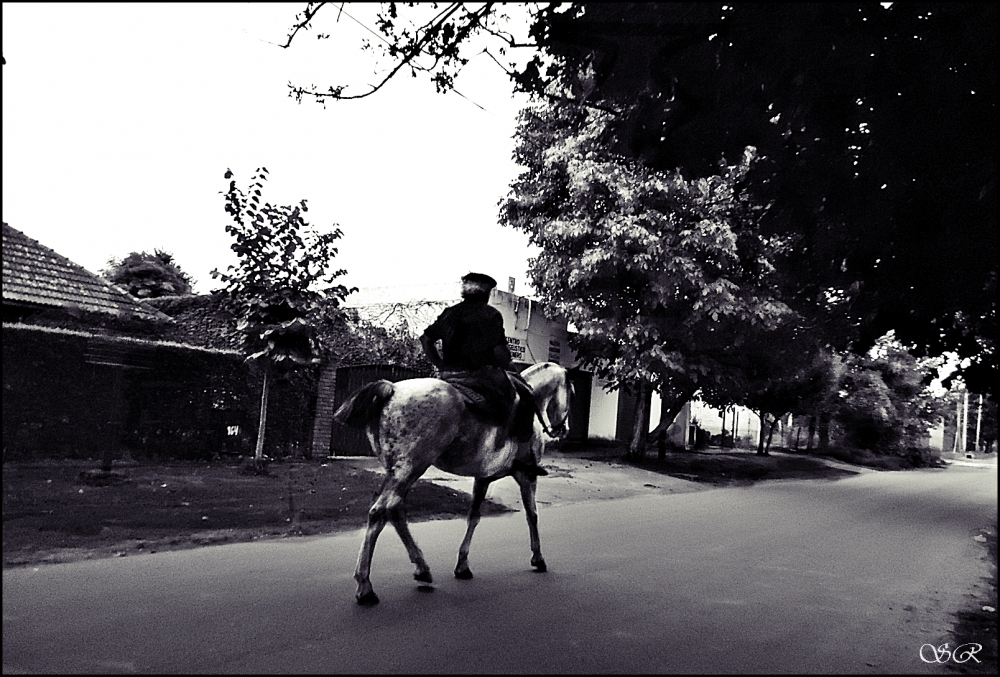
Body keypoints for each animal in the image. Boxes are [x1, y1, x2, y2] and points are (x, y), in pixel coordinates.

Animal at [334, 362, 576, 604]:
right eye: (572, 393)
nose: (563, 430)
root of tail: (392, 389)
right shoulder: (527, 476)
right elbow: (532, 515)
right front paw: (538, 558)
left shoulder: (483, 478)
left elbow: (474, 517)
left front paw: (462, 565)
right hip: (410, 468)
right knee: (380, 512)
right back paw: (365, 586)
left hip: (398, 471)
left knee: (394, 511)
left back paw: (422, 569)